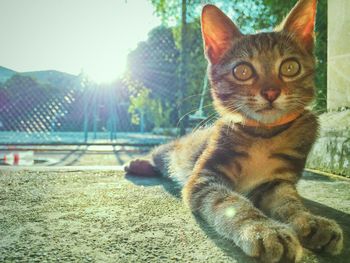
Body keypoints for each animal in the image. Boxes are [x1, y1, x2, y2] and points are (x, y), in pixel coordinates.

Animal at [124, 1, 344, 262]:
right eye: (243, 71)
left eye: (290, 67)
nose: (271, 92)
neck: (263, 134)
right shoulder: (205, 178)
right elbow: (230, 202)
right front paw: (265, 229)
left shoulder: (276, 181)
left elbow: (289, 201)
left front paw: (311, 221)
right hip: (175, 150)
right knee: (160, 153)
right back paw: (139, 163)